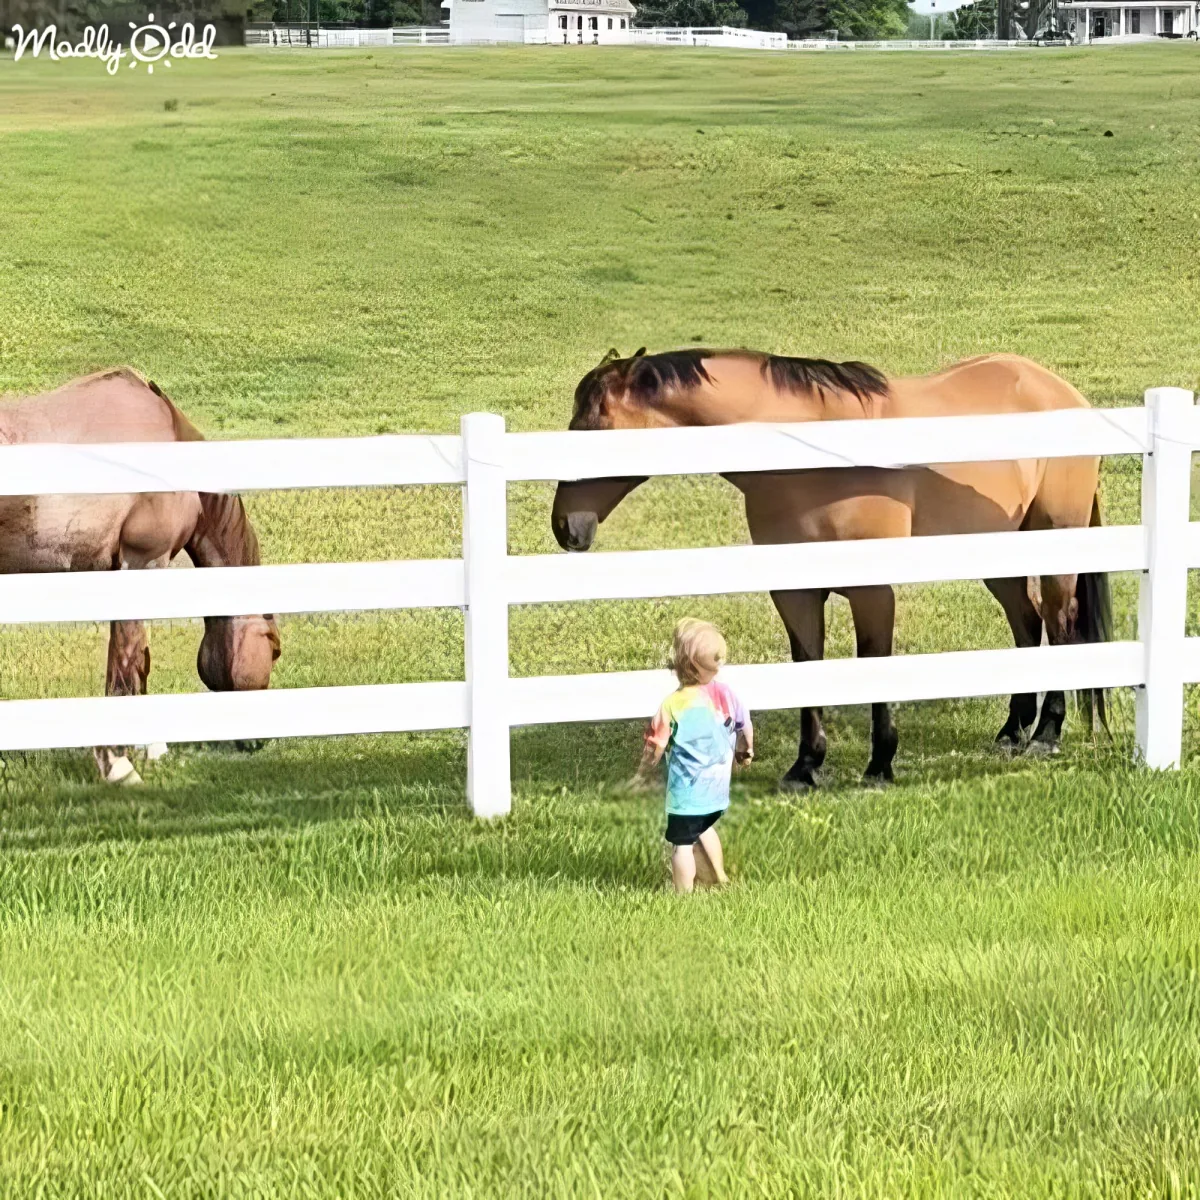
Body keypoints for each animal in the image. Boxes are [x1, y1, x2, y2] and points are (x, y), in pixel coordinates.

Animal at [551, 348, 1112, 788]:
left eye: (591, 429)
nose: (565, 527)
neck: (809, 458)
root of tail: (1062, 391)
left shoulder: (872, 590)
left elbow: (872, 665)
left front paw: (880, 764)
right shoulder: (795, 592)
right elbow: (810, 668)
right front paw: (805, 767)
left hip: (1056, 544)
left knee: (1059, 626)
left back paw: (1045, 734)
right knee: (1028, 623)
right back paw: (1013, 731)